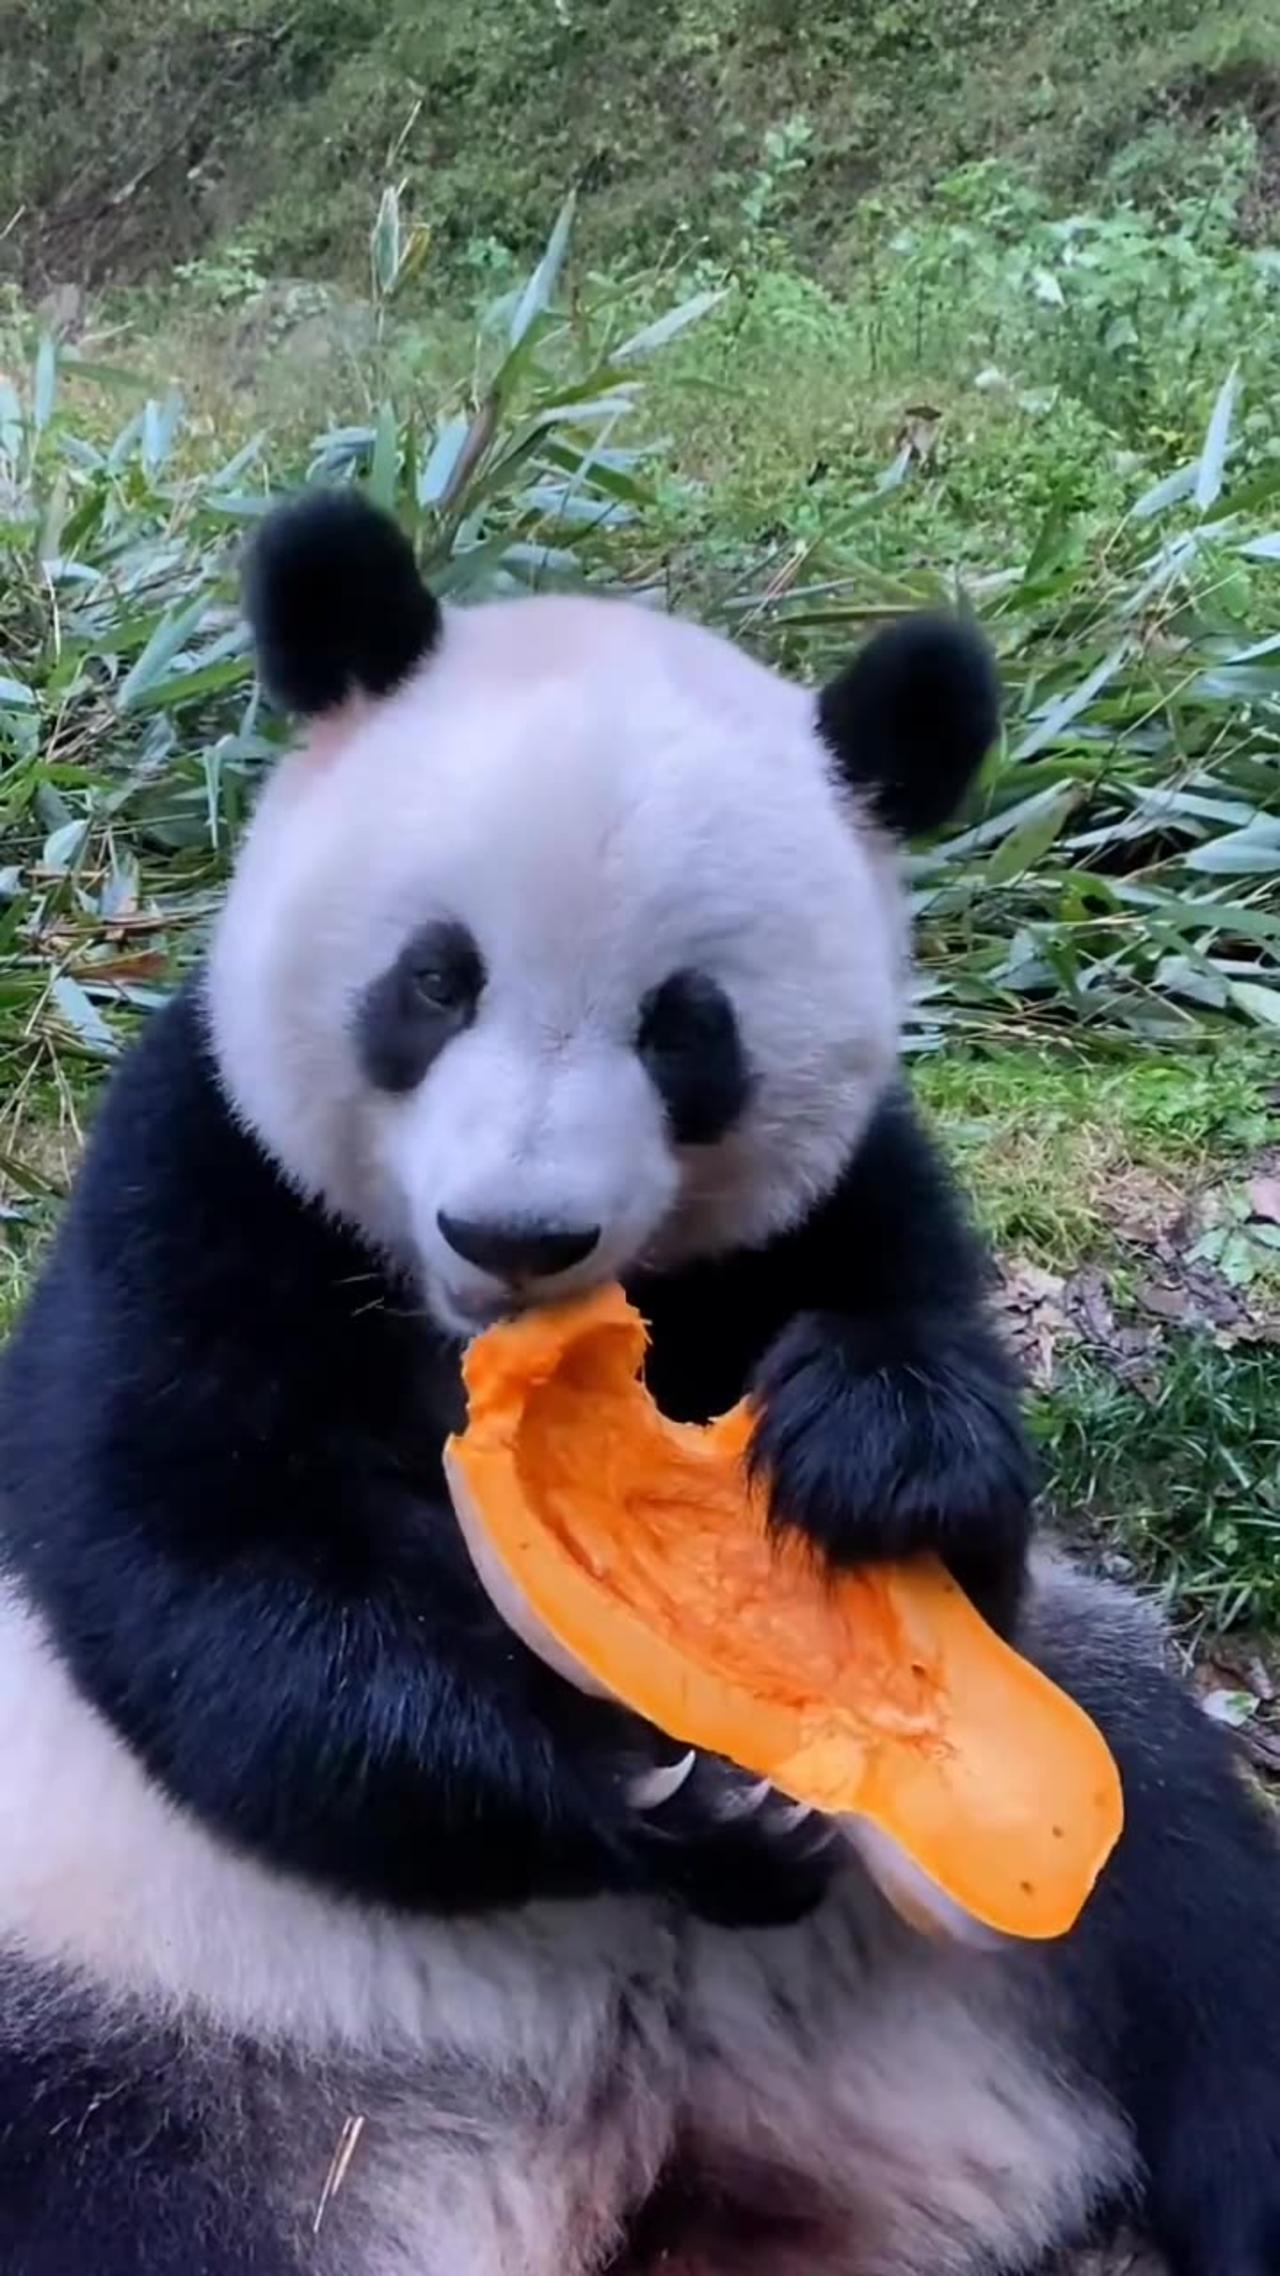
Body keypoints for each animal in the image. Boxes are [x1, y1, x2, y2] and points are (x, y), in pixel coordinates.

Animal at [0, 484, 1266, 2276]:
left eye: (688, 1027)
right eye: (435, 979)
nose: (516, 1232)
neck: (471, 1329)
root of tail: (638, 2153)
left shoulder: (850, 1195)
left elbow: (960, 1482)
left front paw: (873, 1450)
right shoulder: (199, 1176)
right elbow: (203, 1574)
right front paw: (648, 1802)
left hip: (1026, 1906)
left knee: (1190, 1905)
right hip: (142, 2009)